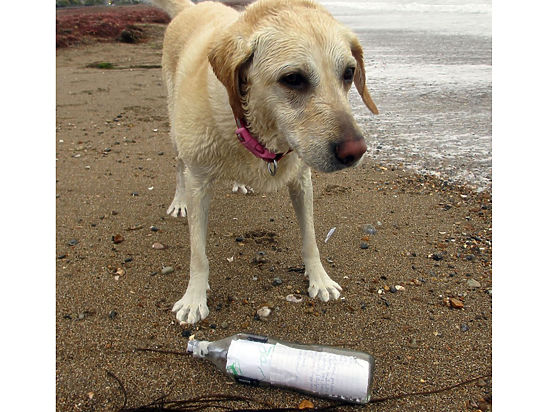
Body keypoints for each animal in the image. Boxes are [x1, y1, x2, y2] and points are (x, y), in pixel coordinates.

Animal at [151, 0, 380, 324]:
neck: (260, 133)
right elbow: (198, 254)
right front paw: (194, 298)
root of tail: (193, 8)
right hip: (176, 131)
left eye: (348, 73)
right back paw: (178, 201)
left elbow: (311, 238)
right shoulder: (199, 184)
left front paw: (319, 279)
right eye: (293, 79)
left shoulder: (301, 180)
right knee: (179, 165)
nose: (355, 151)